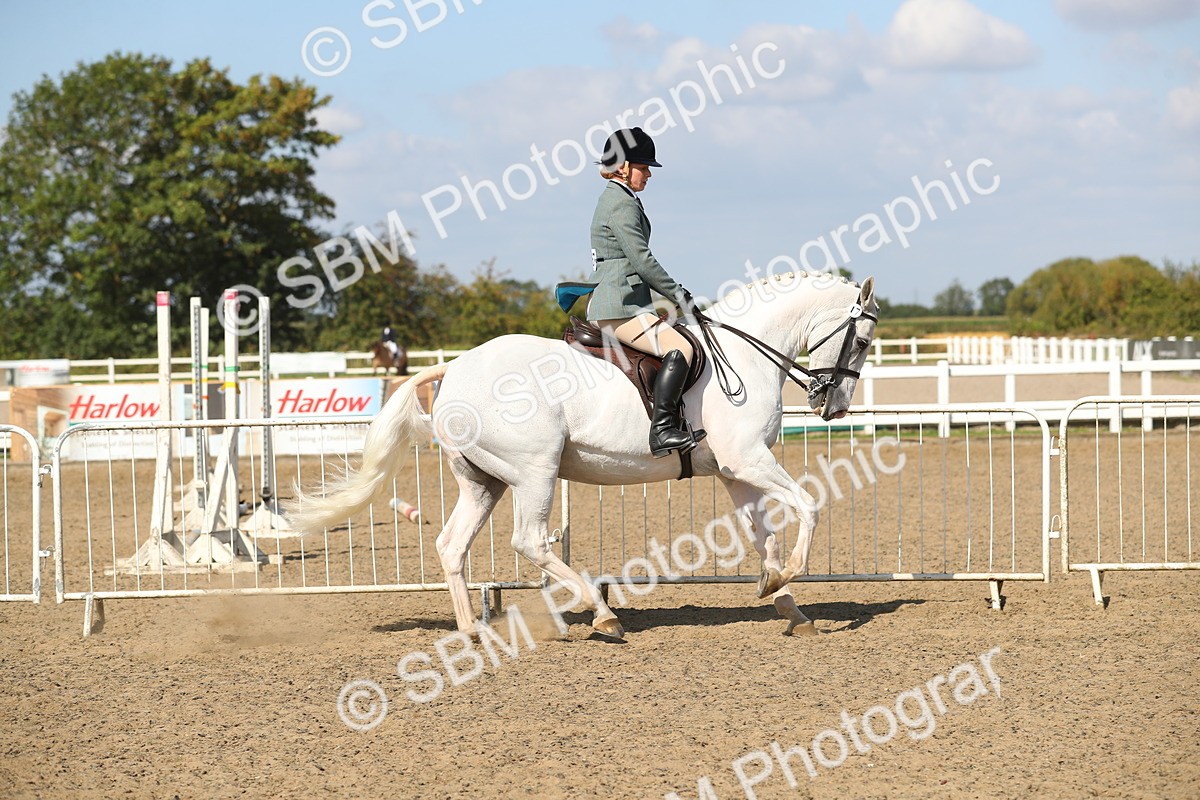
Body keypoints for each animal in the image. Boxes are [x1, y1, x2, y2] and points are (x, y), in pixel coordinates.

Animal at [289, 273, 878, 639]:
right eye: (863, 341)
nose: (834, 407)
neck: (743, 356)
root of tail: (454, 367)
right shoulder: (749, 460)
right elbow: (808, 505)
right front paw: (789, 579)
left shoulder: (737, 470)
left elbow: (765, 536)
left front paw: (784, 600)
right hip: (534, 471)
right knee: (529, 541)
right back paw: (602, 616)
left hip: (484, 480)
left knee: (452, 545)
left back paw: (471, 630)